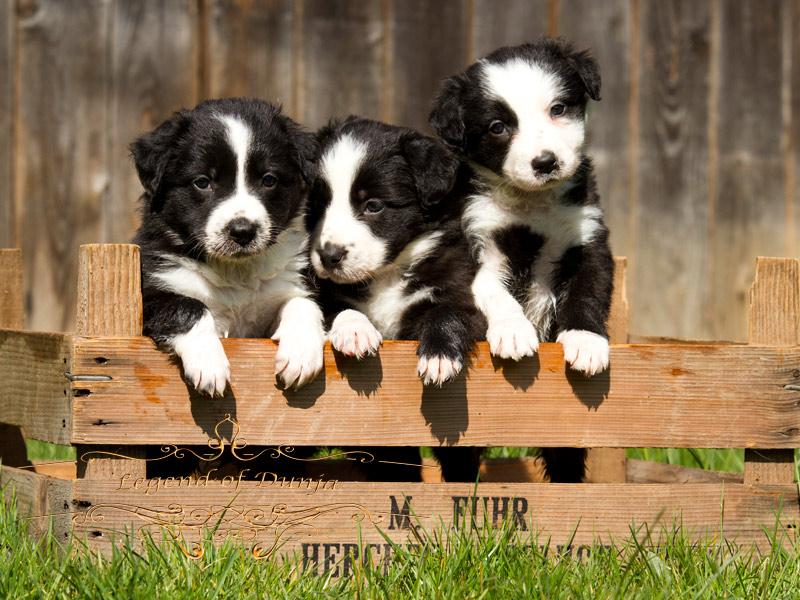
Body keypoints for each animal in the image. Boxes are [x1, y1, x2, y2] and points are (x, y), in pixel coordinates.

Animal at [131, 99, 324, 394]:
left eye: (268, 180)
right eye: (202, 182)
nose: (243, 231)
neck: (235, 271)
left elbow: (302, 302)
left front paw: (301, 354)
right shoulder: (151, 292)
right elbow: (188, 305)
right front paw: (209, 364)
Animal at [304, 117, 484, 482]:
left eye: (373, 206)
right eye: (319, 206)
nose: (329, 256)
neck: (386, 275)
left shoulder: (461, 290)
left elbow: (448, 313)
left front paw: (438, 357)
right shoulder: (323, 289)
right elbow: (337, 307)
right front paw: (356, 331)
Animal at [432, 37, 612, 480]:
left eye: (558, 109)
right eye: (498, 127)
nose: (545, 162)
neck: (533, 204)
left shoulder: (588, 235)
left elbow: (588, 290)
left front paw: (586, 341)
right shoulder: (480, 246)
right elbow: (497, 293)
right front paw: (514, 332)